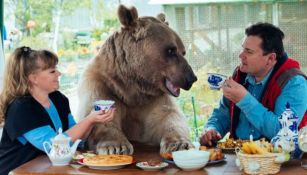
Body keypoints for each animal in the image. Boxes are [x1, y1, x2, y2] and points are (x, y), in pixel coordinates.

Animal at [77, 4, 197, 154]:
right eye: (170, 50)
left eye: (183, 51)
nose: (191, 78)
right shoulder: (103, 84)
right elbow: (99, 116)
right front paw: (116, 146)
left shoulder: (153, 98)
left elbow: (169, 116)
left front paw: (179, 144)